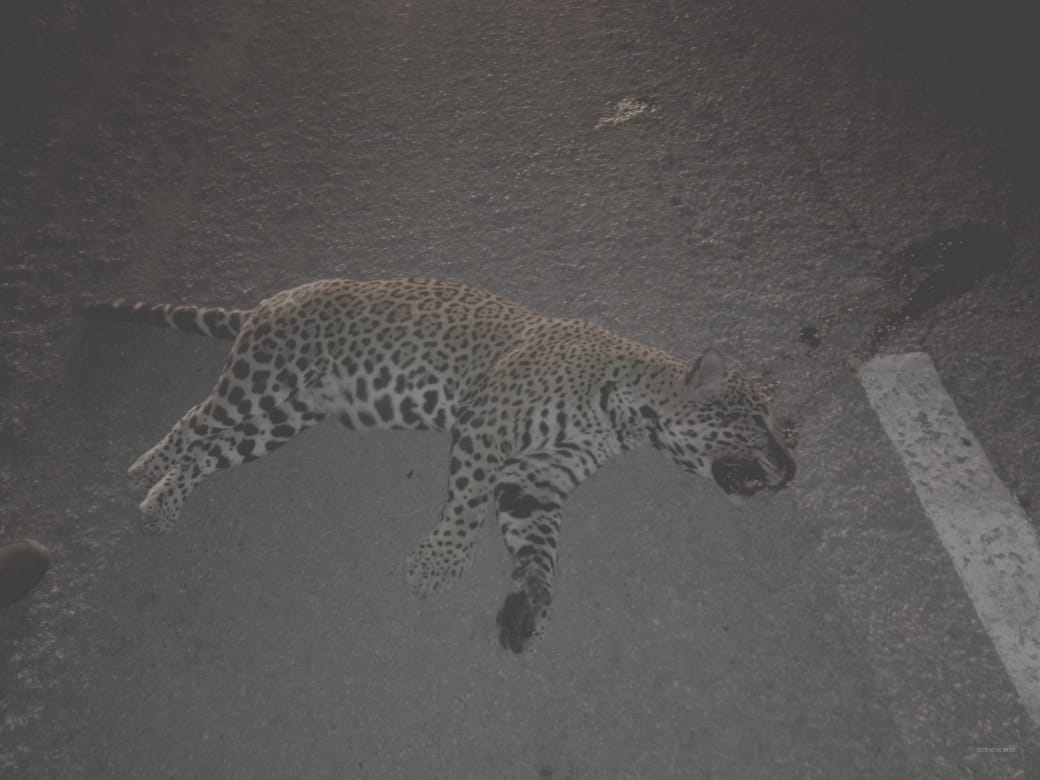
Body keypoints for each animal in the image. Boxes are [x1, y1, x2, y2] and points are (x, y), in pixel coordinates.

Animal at [82, 277, 796, 653]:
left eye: (782, 430)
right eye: (759, 424)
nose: (791, 469)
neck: (629, 412)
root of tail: (271, 301)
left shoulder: (537, 477)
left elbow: (537, 546)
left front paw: (527, 608)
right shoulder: (489, 425)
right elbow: (468, 504)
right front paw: (440, 564)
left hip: (279, 419)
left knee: (210, 449)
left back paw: (163, 502)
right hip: (259, 383)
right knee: (192, 421)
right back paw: (146, 467)